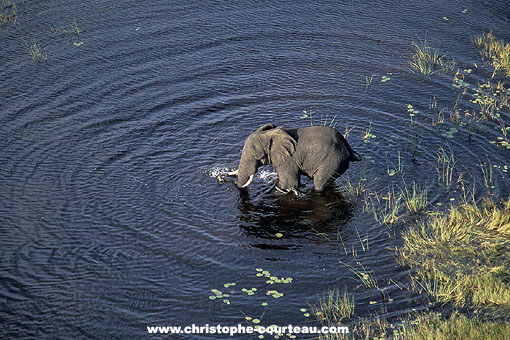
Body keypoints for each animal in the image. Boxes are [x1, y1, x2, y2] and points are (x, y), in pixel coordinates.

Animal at [225, 124, 360, 194]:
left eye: (256, 156)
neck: (269, 134)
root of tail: (348, 148)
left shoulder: (288, 160)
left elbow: (288, 183)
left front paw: (282, 189)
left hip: (333, 161)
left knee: (319, 182)